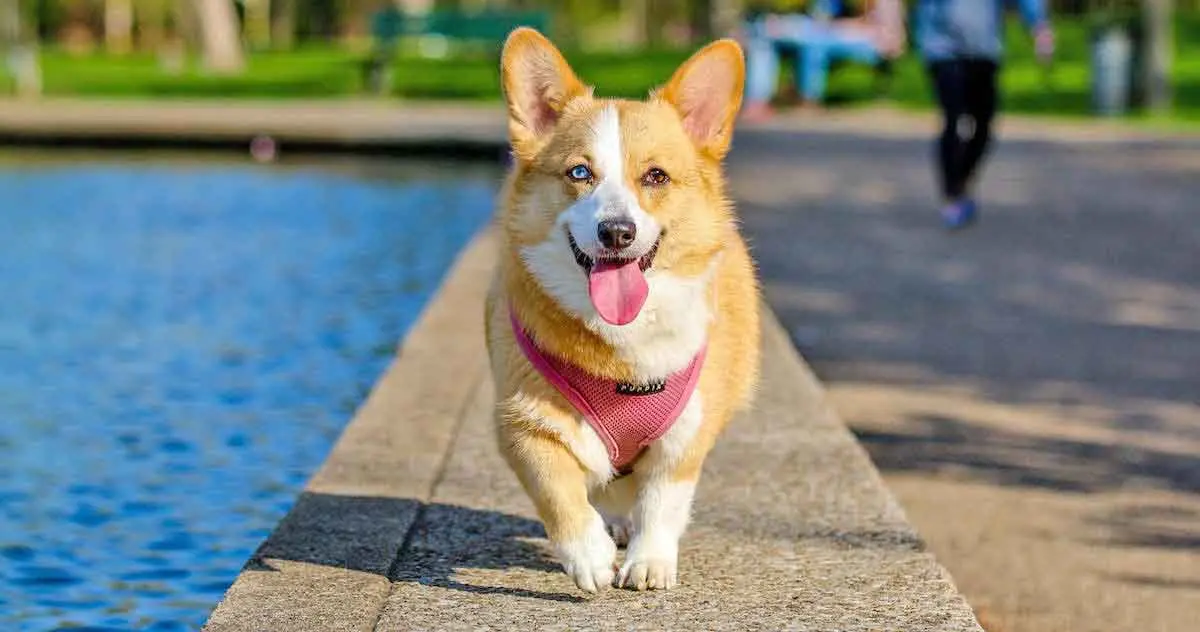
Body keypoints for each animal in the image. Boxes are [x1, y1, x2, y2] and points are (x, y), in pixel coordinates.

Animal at [480, 28, 753, 594]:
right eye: (580, 172)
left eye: (656, 177)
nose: (617, 233)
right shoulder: (522, 422)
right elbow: (557, 491)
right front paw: (588, 555)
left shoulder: (685, 435)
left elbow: (663, 503)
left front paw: (650, 563)